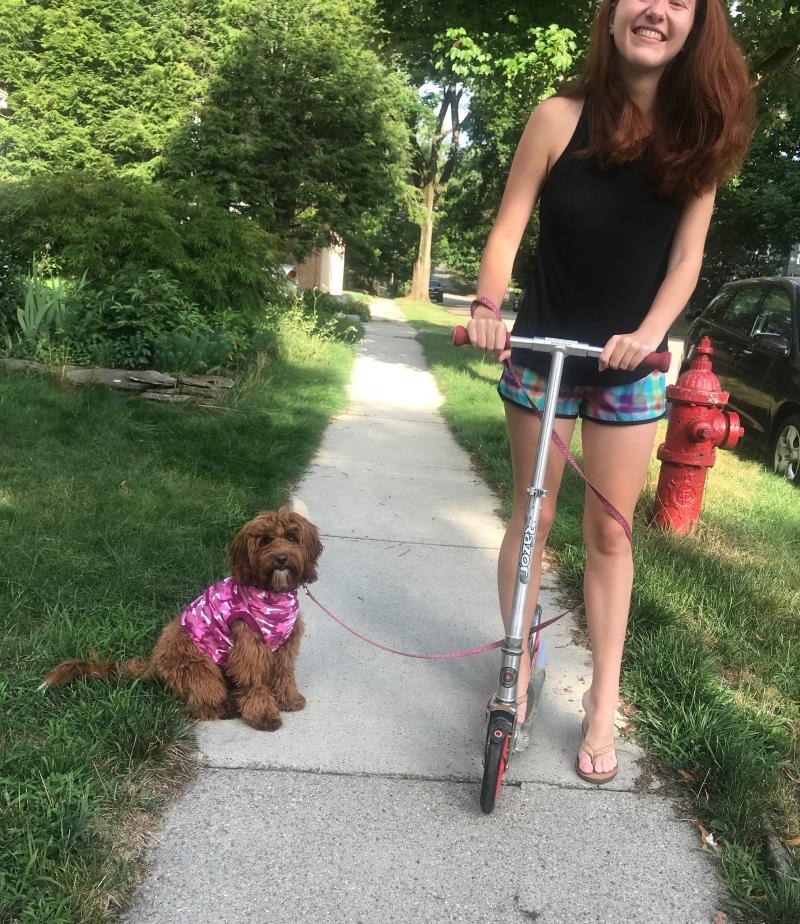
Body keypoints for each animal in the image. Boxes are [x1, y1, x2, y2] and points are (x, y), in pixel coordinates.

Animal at [40, 508, 322, 732]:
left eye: (292, 538)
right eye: (265, 540)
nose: (281, 559)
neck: (271, 594)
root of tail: (154, 666)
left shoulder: (286, 643)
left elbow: (284, 673)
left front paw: (289, 699)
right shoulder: (249, 649)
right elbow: (255, 682)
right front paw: (263, 714)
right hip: (199, 667)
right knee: (200, 703)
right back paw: (225, 707)